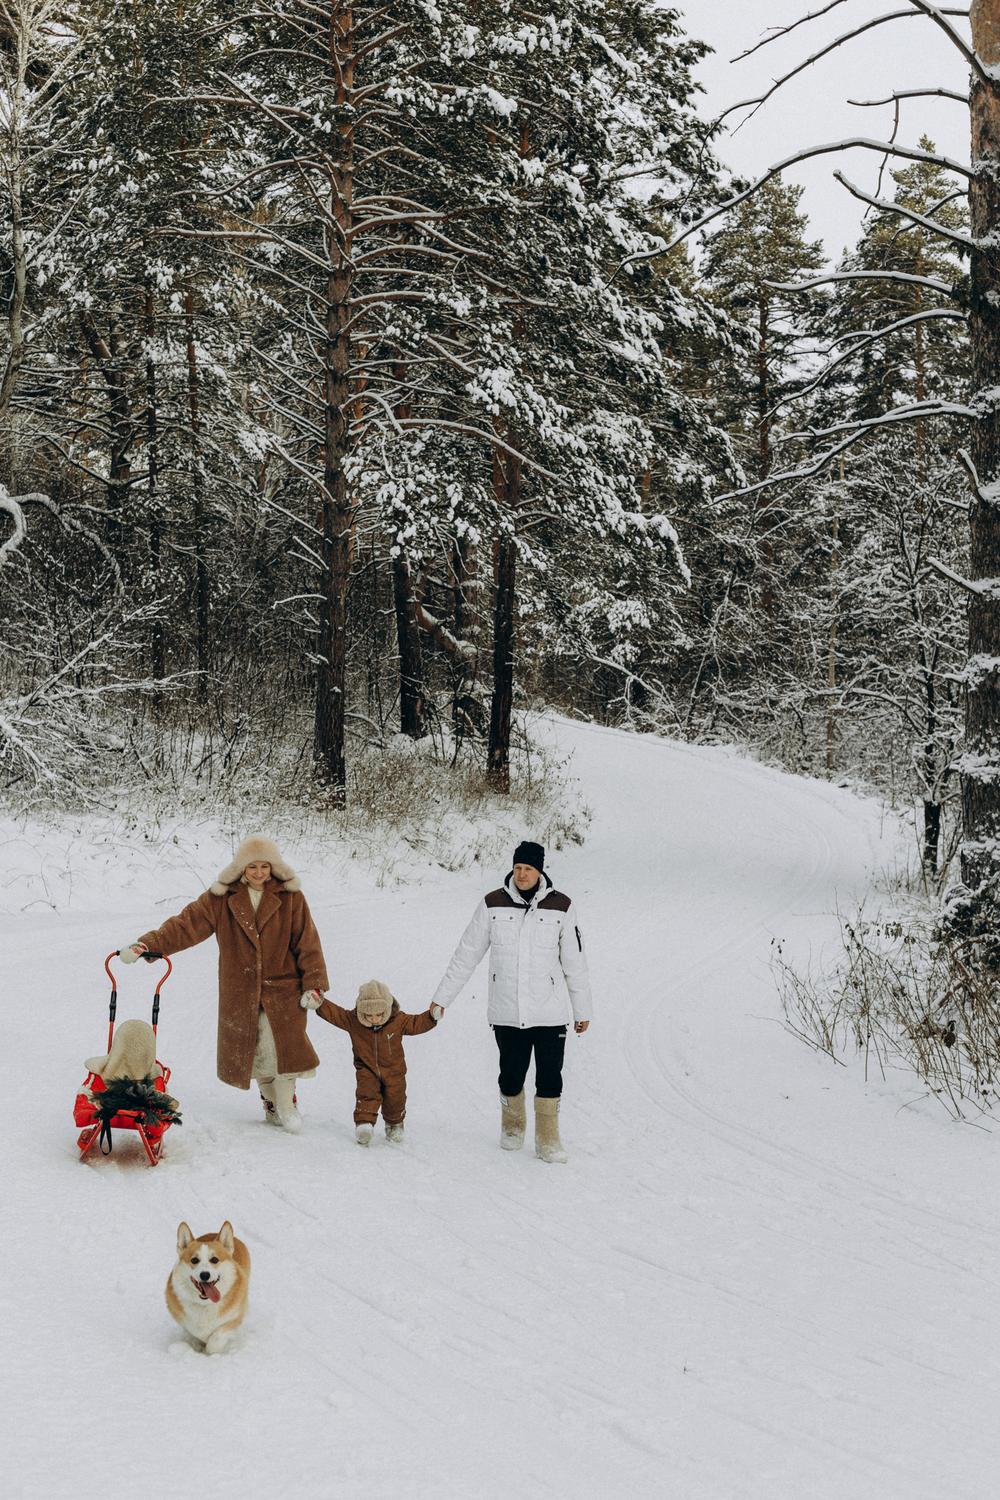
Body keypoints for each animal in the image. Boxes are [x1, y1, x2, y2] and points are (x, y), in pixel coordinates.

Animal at [164, 1218, 250, 1362]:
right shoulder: (183, 1321)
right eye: (194, 1260)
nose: (205, 1275)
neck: (205, 1305)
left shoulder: (234, 1319)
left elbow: (216, 1337)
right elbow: (192, 1332)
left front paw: (209, 1351)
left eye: (214, 1259)